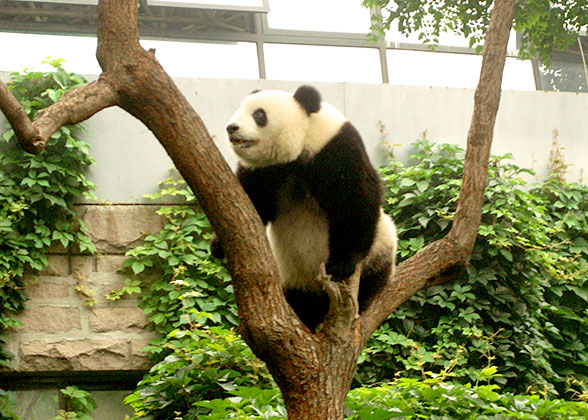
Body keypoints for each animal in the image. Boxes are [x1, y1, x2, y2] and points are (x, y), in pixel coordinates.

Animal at [214, 84, 398, 332]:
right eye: (239, 110)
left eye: (259, 114)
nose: (231, 128)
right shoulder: (265, 171)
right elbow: (252, 205)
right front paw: (219, 245)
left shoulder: (336, 148)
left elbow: (354, 201)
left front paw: (341, 264)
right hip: (292, 274)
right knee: (300, 299)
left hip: (382, 245)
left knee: (376, 268)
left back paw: (365, 296)